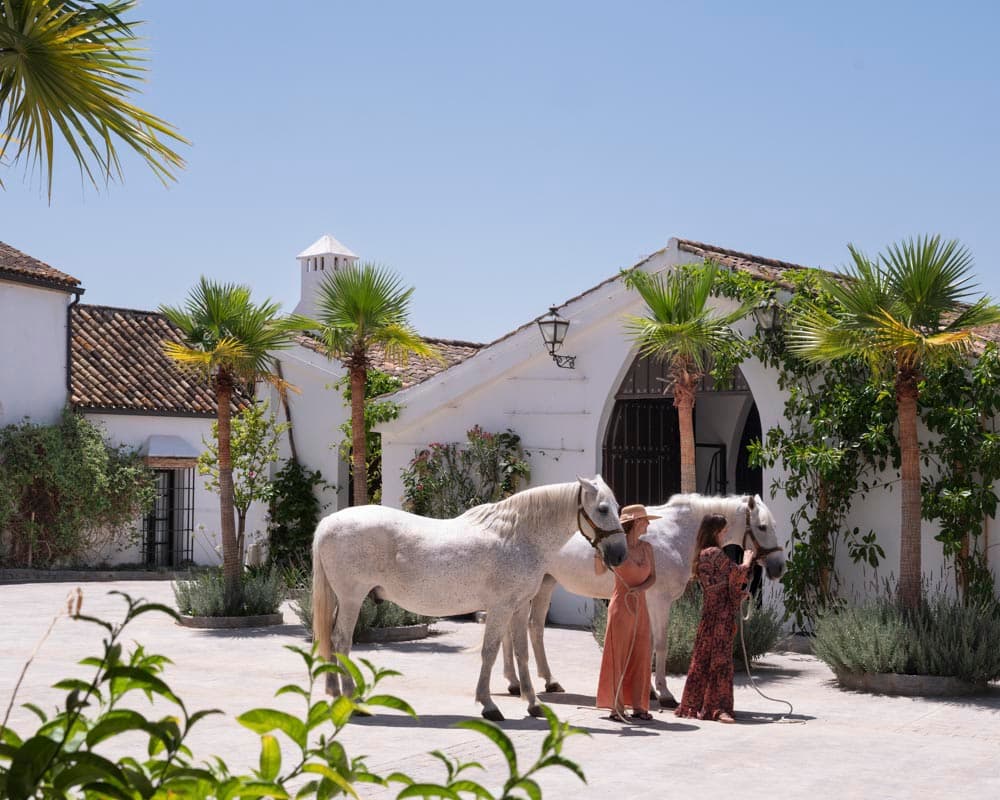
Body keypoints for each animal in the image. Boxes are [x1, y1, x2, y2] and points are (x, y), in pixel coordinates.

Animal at [312, 475, 627, 721]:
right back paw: (352, 701)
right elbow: (490, 652)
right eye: (602, 509)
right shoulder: (500, 608)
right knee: (341, 641)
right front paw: (489, 706)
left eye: (617, 507)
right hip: (352, 599)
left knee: (331, 638)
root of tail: (328, 523)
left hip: (343, 600)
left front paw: (533, 703)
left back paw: (335, 692)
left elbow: (521, 652)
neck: (518, 536)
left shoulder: (518, 607)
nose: (620, 555)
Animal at [501, 493, 786, 707]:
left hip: (545, 584)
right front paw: (665, 693)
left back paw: (539, 682)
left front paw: (648, 691)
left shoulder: (648, 601)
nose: (778, 568)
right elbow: (659, 644)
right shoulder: (659, 600)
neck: (677, 533)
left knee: (532, 629)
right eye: (762, 527)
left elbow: (646, 643)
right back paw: (519, 684)